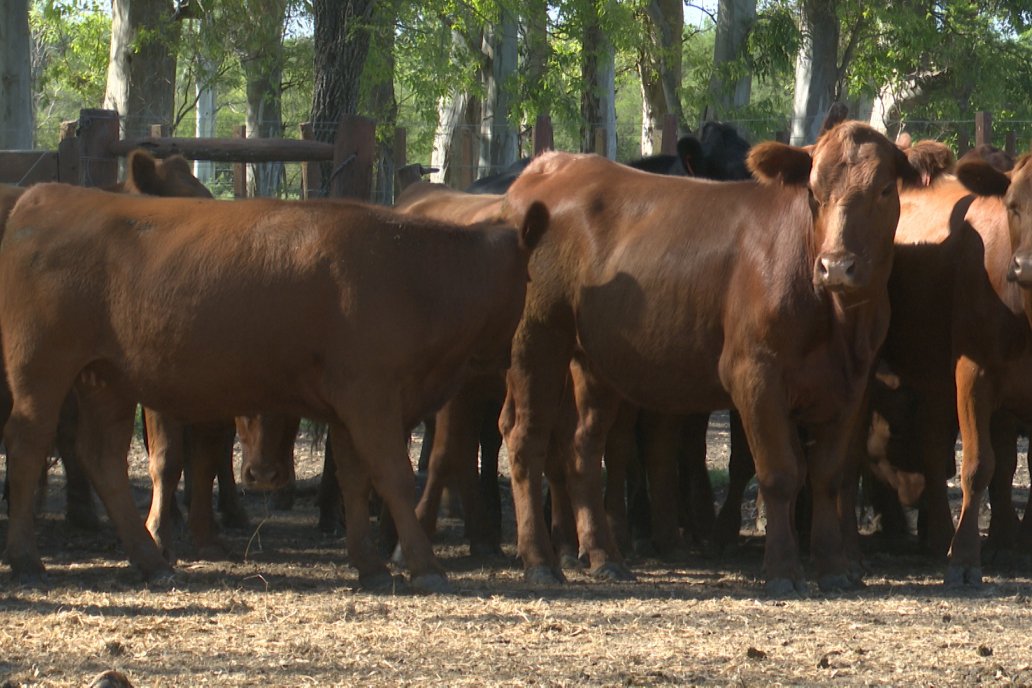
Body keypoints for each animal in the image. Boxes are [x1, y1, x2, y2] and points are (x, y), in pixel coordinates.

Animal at [0, 184, 549, 594]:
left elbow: (354, 478)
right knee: (28, 446)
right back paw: (27, 560)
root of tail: (46, 195)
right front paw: (425, 566)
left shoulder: (348, 405)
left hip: (106, 378)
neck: (420, 277)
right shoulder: (370, 394)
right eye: (527, 276)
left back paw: (150, 561)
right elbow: (393, 475)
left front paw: (370, 565)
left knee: (102, 457)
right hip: (41, 369)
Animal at [499, 119, 920, 594]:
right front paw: (782, 570)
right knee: (525, 438)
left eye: (884, 189)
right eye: (814, 192)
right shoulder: (754, 374)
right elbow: (779, 473)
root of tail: (548, 166)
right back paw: (540, 561)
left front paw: (832, 568)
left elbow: (827, 475)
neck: (838, 320)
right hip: (534, 341)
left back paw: (604, 556)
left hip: (592, 361)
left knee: (583, 447)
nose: (836, 265)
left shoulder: (852, 382)